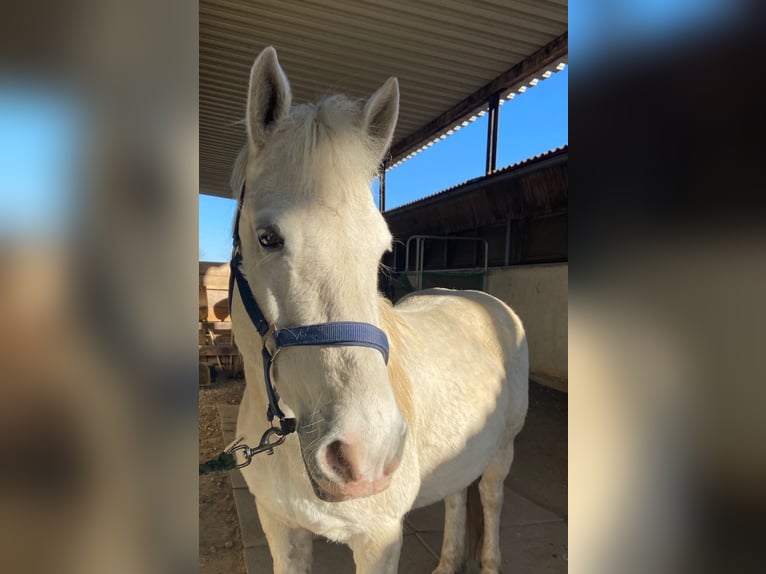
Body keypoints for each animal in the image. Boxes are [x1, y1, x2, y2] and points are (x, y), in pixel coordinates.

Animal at [230, 46, 528, 574]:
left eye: (383, 249)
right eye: (267, 237)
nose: (365, 453)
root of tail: (481, 299)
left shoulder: (379, 541)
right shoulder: (280, 529)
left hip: (503, 451)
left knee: (490, 499)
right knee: (456, 496)